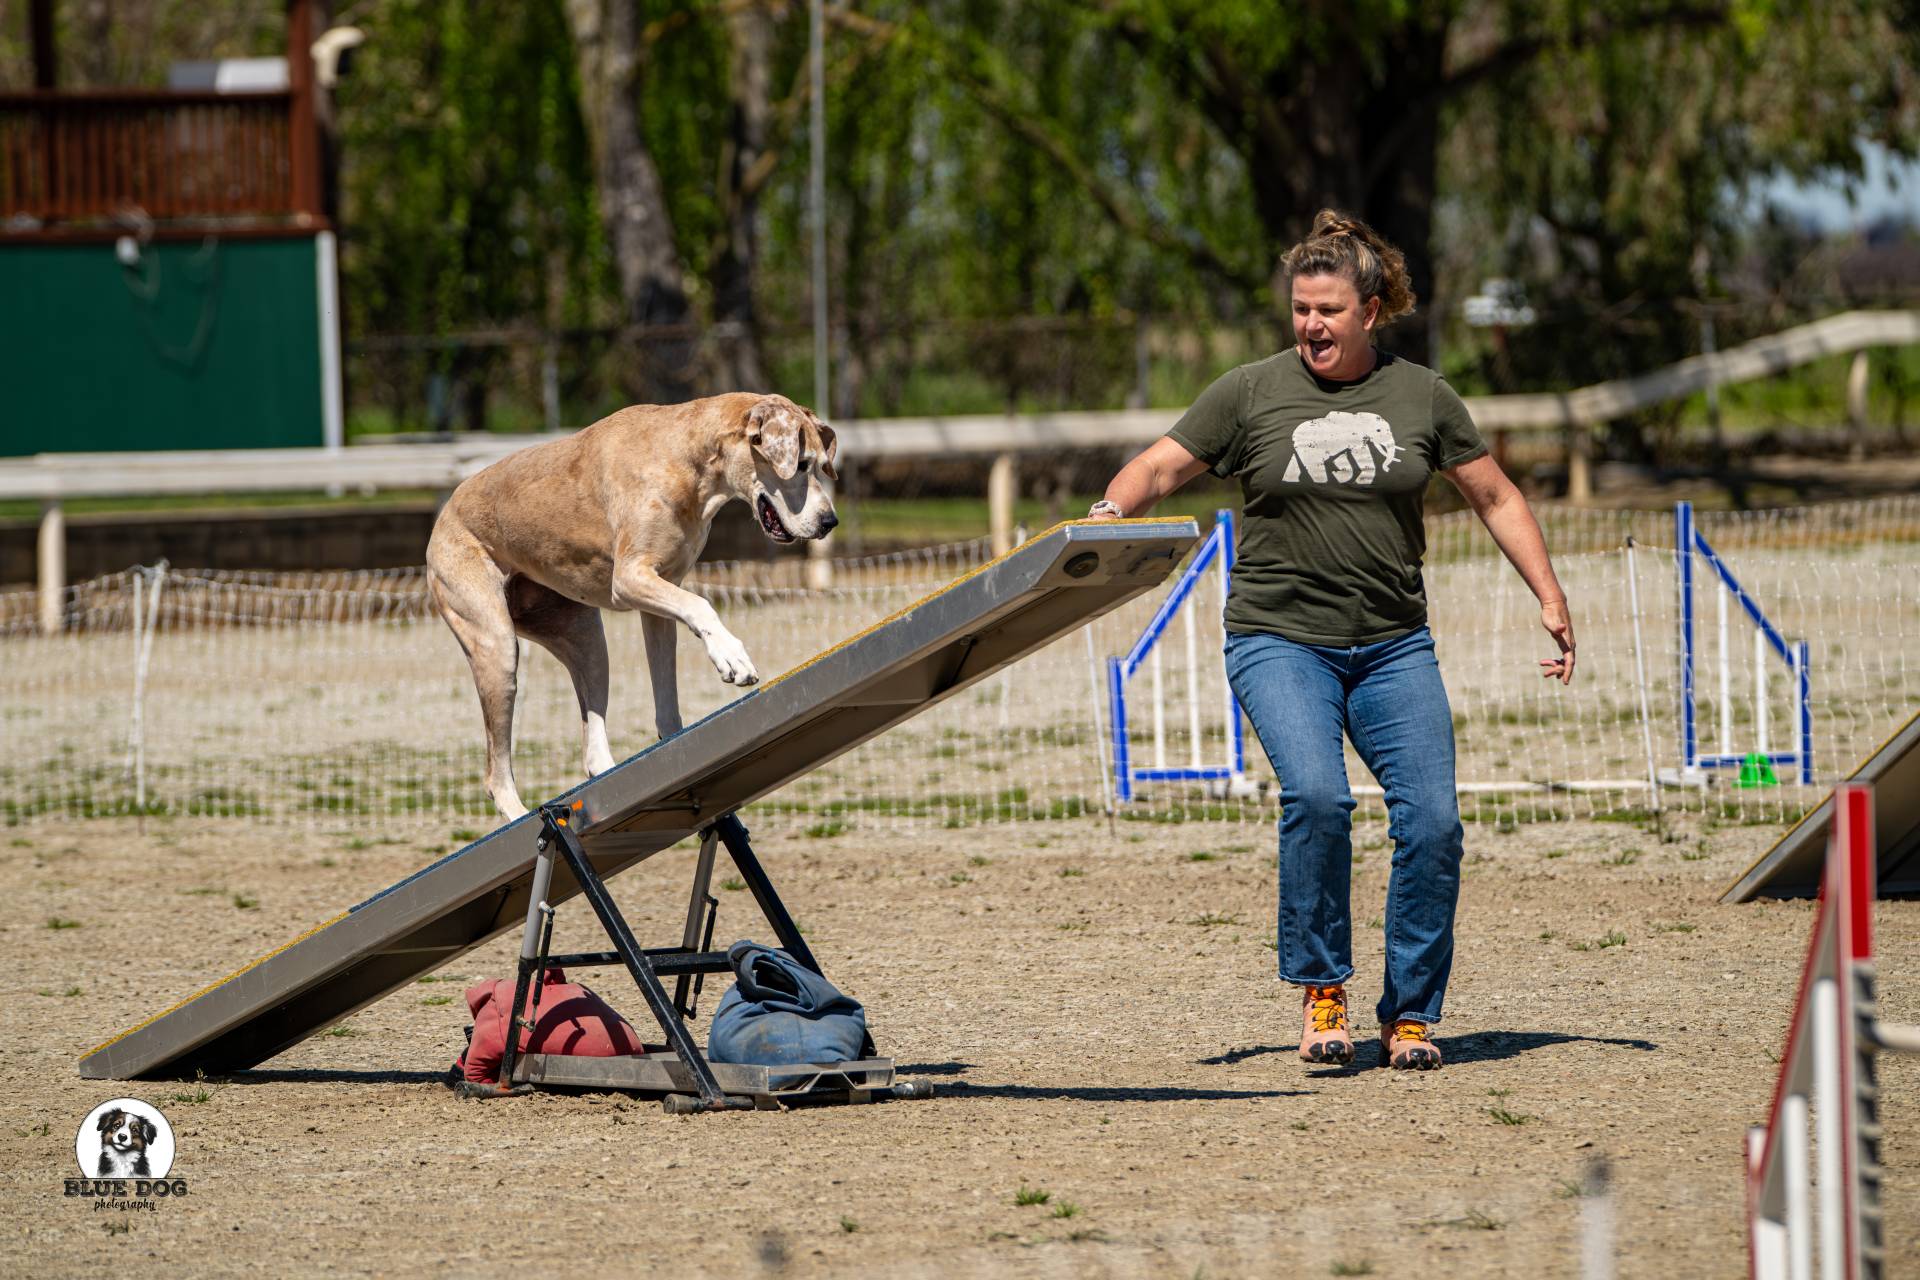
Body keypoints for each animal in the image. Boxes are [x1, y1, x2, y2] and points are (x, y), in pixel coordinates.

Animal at [427, 392, 839, 821]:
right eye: (801, 463)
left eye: (818, 464)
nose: (830, 522)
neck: (687, 459)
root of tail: (443, 516)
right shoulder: (630, 578)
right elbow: (702, 606)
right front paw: (731, 656)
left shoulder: (662, 596)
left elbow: (667, 692)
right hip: (498, 649)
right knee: (496, 774)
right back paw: (521, 814)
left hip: (586, 641)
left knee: (593, 749)